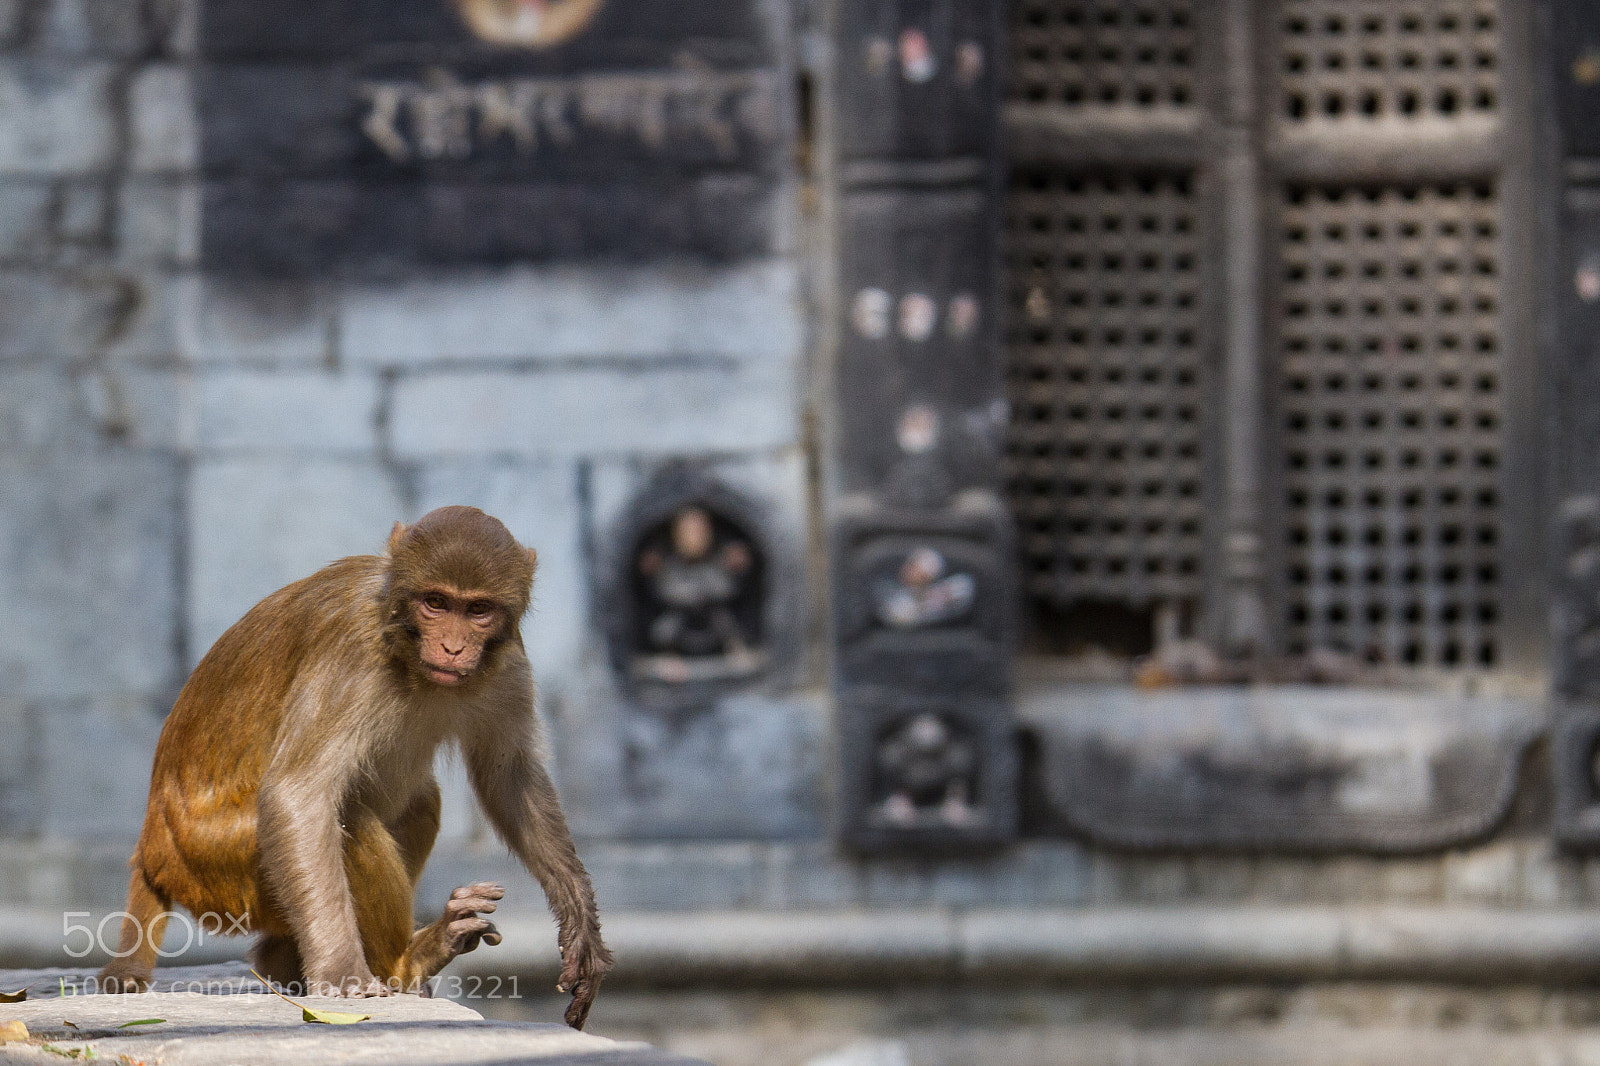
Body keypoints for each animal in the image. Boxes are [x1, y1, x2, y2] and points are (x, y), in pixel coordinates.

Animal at [97, 506, 612, 1029]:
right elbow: (297, 794)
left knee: (419, 801)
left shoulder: (506, 662)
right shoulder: (351, 654)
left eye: (478, 610)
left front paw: (579, 922)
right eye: (435, 602)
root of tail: (154, 845)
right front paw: (343, 969)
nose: (452, 647)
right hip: (215, 866)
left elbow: (509, 777)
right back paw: (409, 962)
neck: (403, 642)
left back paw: (285, 960)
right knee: (352, 822)